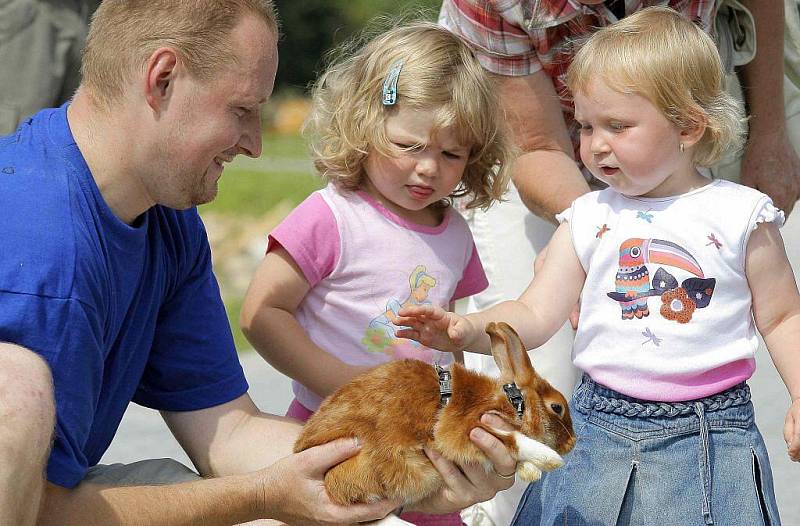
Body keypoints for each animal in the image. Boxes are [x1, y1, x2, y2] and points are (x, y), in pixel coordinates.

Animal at [294, 322, 576, 520]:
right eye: (557, 407)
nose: (572, 443)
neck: (513, 401)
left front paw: (531, 470)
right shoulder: (462, 427)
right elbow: (513, 439)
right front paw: (550, 460)